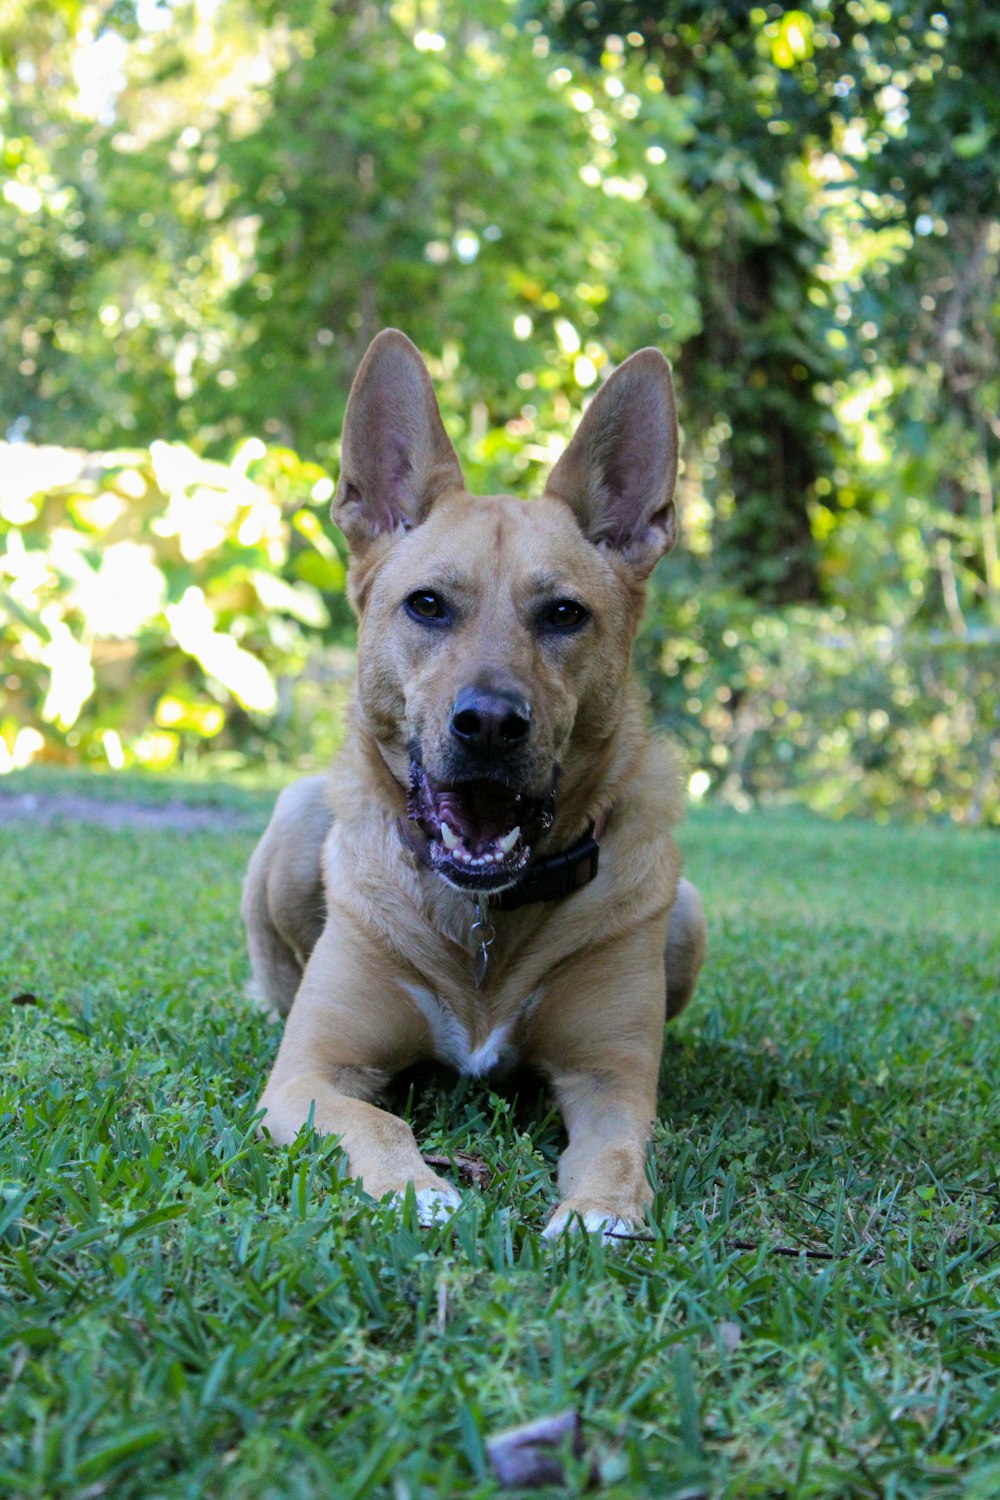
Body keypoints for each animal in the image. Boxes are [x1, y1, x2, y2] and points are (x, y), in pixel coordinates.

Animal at [242, 328, 707, 1230]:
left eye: (563, 614)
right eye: (427, 605)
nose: (489, 723)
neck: (486, 920)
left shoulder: (613, 1079)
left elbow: (615, 1151)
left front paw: (598, 1214)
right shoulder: (309, 1073)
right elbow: (375, 1121)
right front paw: (416, 1191)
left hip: (688, 916)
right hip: (295, 825)